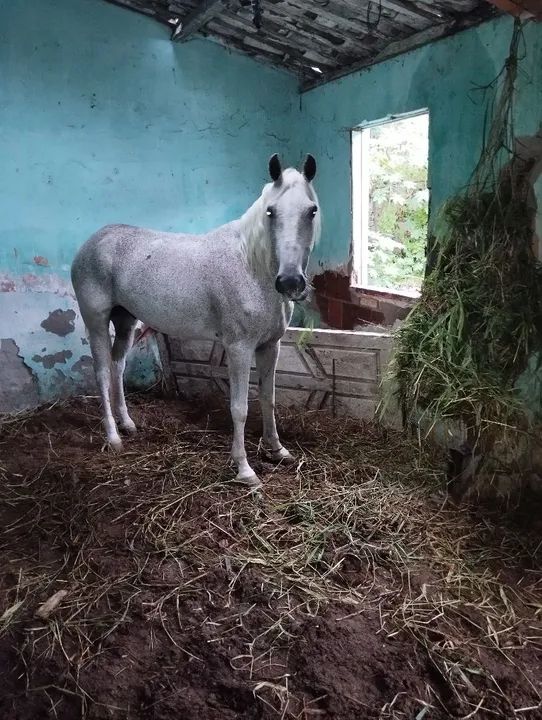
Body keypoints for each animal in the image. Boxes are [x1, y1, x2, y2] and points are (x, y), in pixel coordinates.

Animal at [71, 154, 320, 488]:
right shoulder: (239, 348)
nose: (291, 282)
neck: (252, 268)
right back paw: (113, 438)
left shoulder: (271, 346)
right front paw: (244, 470)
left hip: (126, 321)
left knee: (117, 365)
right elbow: (239, 408)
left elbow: (268, 397)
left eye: (311, 210)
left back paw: (128, 424)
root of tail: (93, 241)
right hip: (96, 321)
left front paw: (277, 450)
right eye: (271, 211)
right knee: (99, 372)